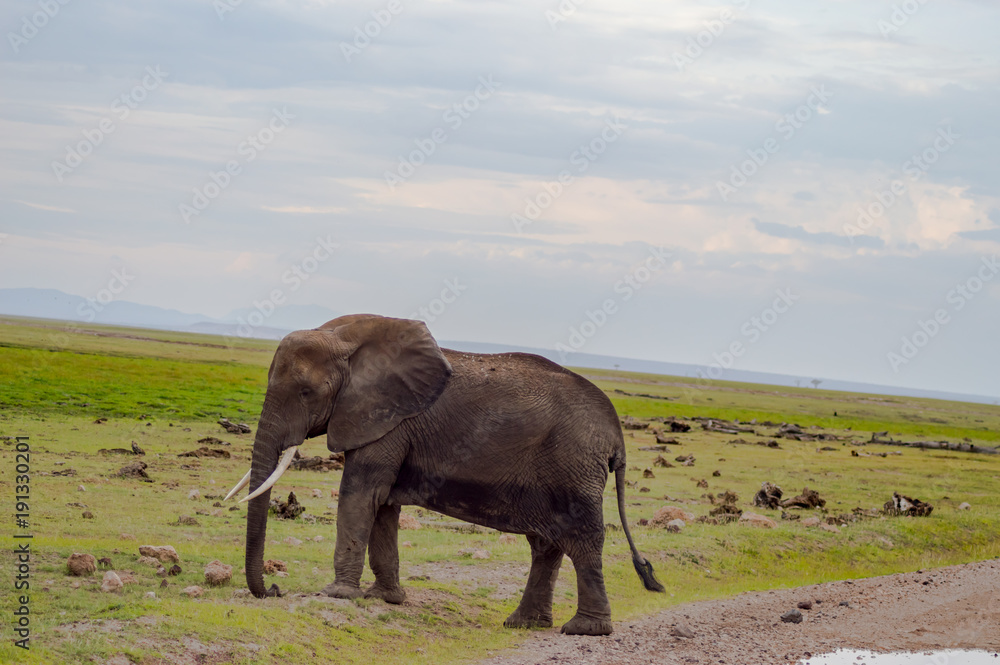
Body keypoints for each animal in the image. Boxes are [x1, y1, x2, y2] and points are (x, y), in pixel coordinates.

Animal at [225, 313, 663, 635]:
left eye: (305, 393)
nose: (275, 589)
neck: (343, 337)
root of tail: (616, 435)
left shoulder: (388, 421)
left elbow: (361, 493)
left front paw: (336, 594)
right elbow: (382, 505)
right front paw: (384, 598)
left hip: (573, 467)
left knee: (582, 539)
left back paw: (584, 630)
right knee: (546, 544)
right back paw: (523, 624)